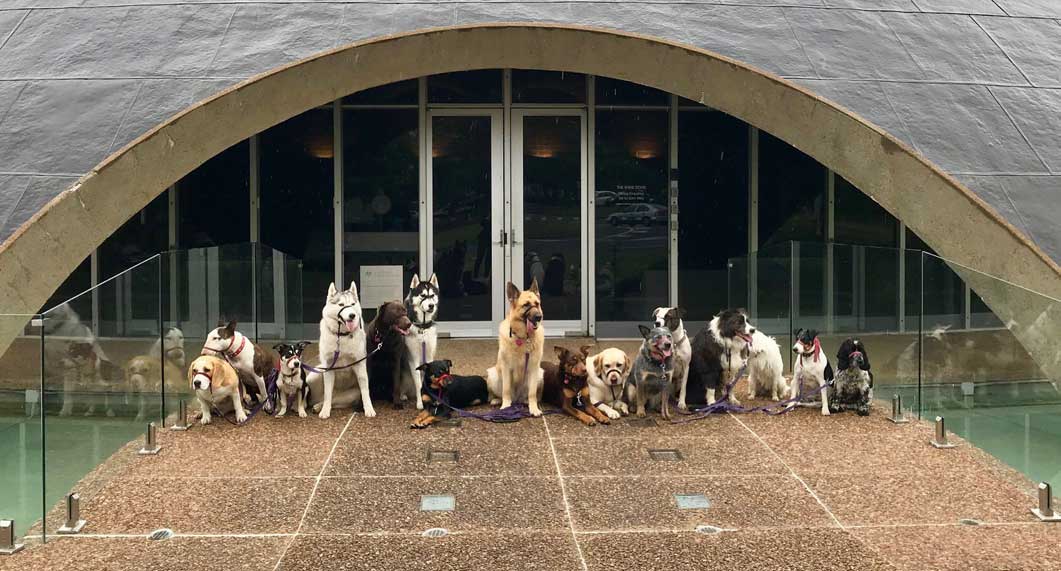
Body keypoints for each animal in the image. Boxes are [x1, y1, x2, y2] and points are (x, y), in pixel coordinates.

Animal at [307, 281, 373, 419]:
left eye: (352, 304)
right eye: (341, 305)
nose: (352, 315)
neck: (342, 336)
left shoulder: (360, 365)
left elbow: (365, 391)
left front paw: (369, 409)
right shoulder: (328, 367)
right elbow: (328, 394)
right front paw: (325, 411)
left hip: (350, 395)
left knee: (334, 400)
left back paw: (318, 406)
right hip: (315, 374)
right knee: (325, 397)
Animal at [402, 274, 439, 411]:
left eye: (432, 295)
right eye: (423, 295)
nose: (431, 306)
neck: (422, 327)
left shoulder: (429, 356)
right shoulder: (413, 359)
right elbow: (418, 384)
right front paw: (420, 403)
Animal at [486, 279, 545, 416]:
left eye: (537, 304)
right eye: (526, 305)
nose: (539, 317)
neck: (524, 338)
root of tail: (517, 399)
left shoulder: (533, 369)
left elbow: (532, 393)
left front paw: (534, 408)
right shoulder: (507, 368)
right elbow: (506, 390)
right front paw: (505, 407)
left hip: (540, 375)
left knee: (528, 395)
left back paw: (525, 401)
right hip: (493, 375)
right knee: (499, 394)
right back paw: (497, 400)